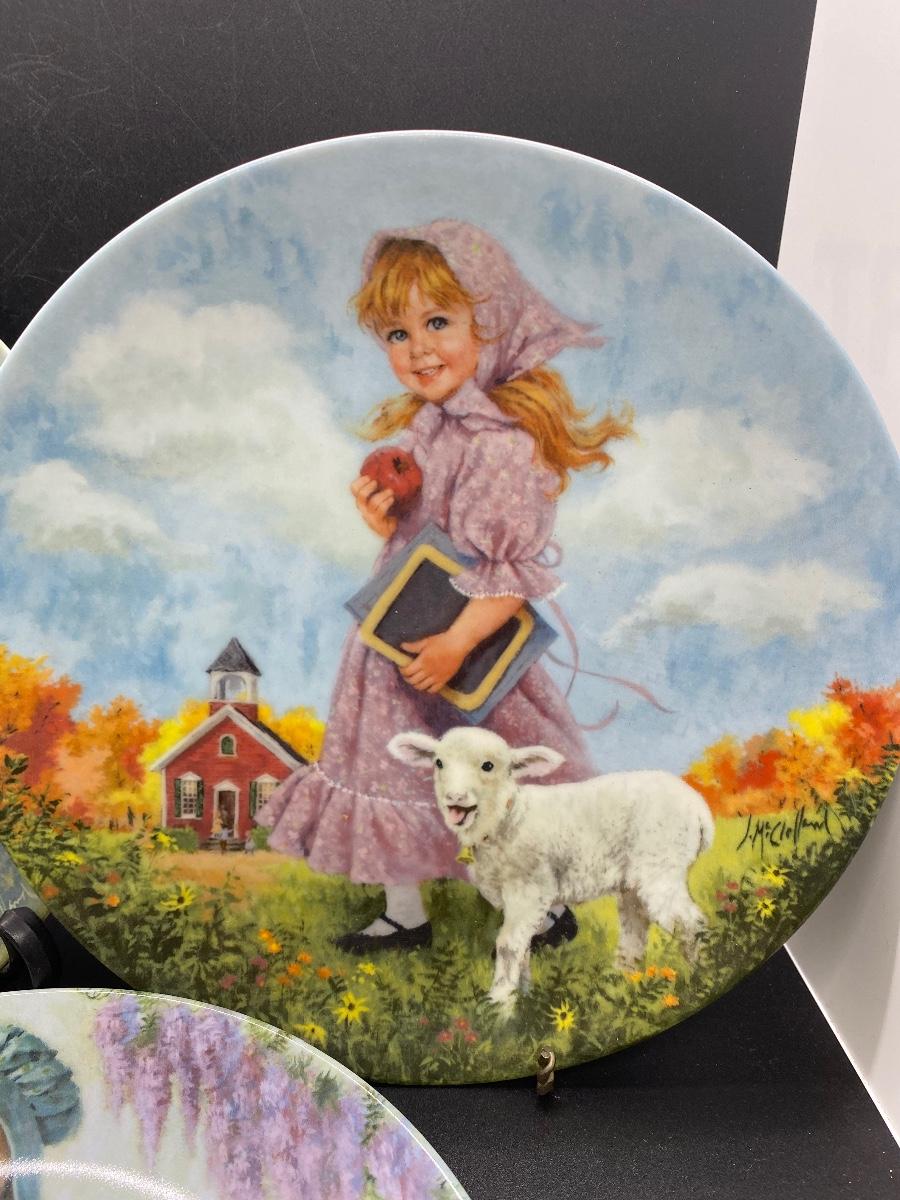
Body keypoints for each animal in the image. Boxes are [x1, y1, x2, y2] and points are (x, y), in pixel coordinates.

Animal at [388, 726, 715, 1009]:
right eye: (438, 763)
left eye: (488, 766)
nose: (454, 799)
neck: (507, 818)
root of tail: (699, 808)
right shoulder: (516, 901)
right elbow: (523, 948)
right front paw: (524, 998)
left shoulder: (529, 891)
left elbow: (508, 945)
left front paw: (499, 1007)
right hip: (634, 880)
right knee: (636, 929)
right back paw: (618, 984)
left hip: (661, 865)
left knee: (690, 924)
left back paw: (703, 977)